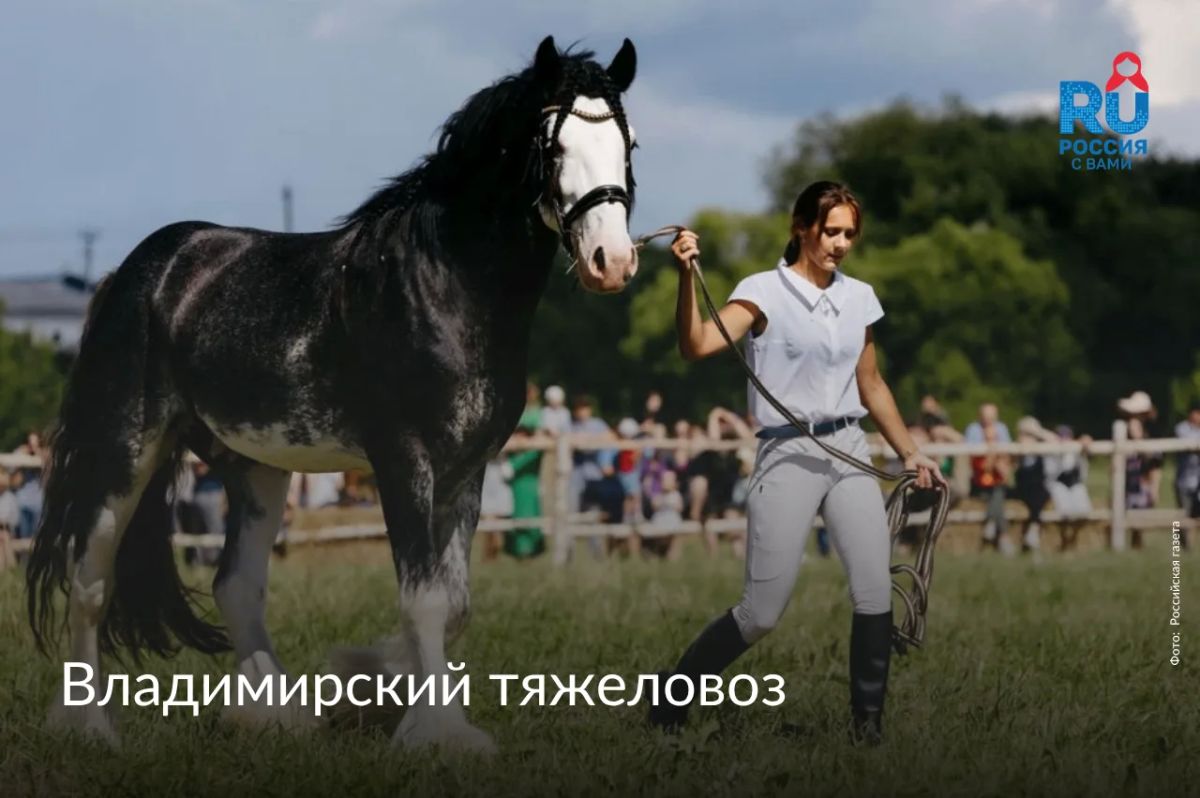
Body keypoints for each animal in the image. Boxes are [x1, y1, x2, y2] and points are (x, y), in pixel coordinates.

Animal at [26, 35, 640, 752]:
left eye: (628, 143)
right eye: (552, 146)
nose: (612, 262)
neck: (443, 284)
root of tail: (137, 271)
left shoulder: (466, 470)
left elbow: (454, 604)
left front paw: (390, 691)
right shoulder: (404, 461)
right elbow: (424, 598)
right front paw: (430, 734)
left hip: (255, 466)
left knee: (237, 585)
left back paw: (276, 717)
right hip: (127, 447)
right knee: (89, 578)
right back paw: (89, 727)